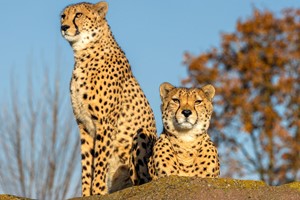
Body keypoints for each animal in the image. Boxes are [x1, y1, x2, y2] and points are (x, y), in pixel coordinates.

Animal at [59, 1, 156, 195]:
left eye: (78, 15)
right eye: (63, 16)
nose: (63, 27)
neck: (83, 55)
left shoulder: (105, 123)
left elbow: (100, 160)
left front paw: (97, 191)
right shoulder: (84, 125)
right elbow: (87, 163)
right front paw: (86, 194)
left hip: (141, 138)